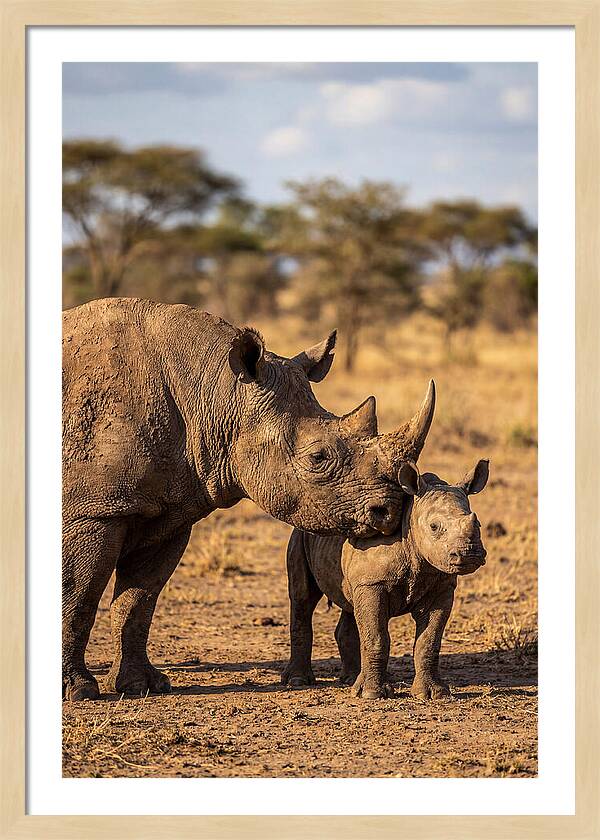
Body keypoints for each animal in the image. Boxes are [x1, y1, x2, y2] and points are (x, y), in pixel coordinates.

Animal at [62, 298, 430, 701]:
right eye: (318, 457)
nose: (389, 511)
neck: (216, 392)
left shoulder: (170, 511)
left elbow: (138, 601)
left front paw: (141, 686)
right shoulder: (94, 510)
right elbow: (77, 595)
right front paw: (78, 691)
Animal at [282, 457, 489, 700]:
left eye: (478, 524)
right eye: (434, 527)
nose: (470, 554)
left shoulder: (441, 587)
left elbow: (429, 641)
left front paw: (433, 694)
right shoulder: (373, 584)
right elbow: (376, 637)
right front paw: (372, 694)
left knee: (350, 604)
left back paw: (351, 680)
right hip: (300, 534)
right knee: (303, 598)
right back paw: (298, 681)